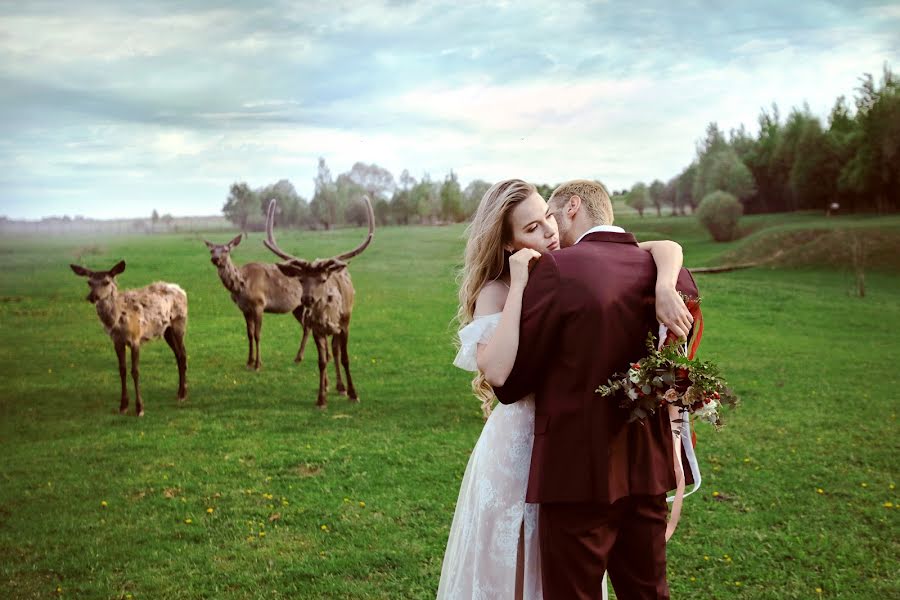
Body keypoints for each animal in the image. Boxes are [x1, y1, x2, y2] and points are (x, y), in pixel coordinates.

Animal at [71, 260, 189, 414]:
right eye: (89, 282)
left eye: (106, 282)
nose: (92, 297)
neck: (117, 321)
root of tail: (181, 290)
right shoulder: (117, 341)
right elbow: (122, 370)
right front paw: (123, 406)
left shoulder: (135, 338)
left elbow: (135, 371)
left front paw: (139, 408)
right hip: (166, 330)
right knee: (178, 354)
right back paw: (180, 392)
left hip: (179, 322)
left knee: (182, 354)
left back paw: (183, 394)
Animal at [203, 234, 310, 370]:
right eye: (211, 250)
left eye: (226, 250)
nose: (215, 258)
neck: (242, 287)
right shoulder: (244, 309)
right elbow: (249, 334)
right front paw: (249, 361)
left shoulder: (259, 304)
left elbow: (257, 334)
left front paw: (258, 364)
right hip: (297, 307)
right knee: (307, 326)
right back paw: (298, 357)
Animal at [262, 196, 374, 408]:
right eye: (301, 279)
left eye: (322, 279)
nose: (307, 299)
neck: (329, 316)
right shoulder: (316, 329)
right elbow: (322, 361)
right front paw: (321, 398)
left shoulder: (345, 325)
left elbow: (345, 358)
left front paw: (353, 393)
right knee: (329, 354)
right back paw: (330, 385)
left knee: (336, 352)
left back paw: (341, 387)